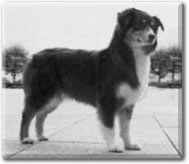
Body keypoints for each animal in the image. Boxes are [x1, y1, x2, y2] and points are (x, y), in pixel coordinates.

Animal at [19, 8, 163, 152]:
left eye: (153, 26)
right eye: (139, 24)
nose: (152, 36)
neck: (129, 56)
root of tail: (34, 56)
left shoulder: (127, 103)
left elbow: (125, 128)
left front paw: (129, 145)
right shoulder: (107, 100)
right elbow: (110, 127)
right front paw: (113, 146)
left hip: (53, 99)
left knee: (40, 115)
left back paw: (41, 135)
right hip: (41, 94)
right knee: (27, 114)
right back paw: (25, 138)